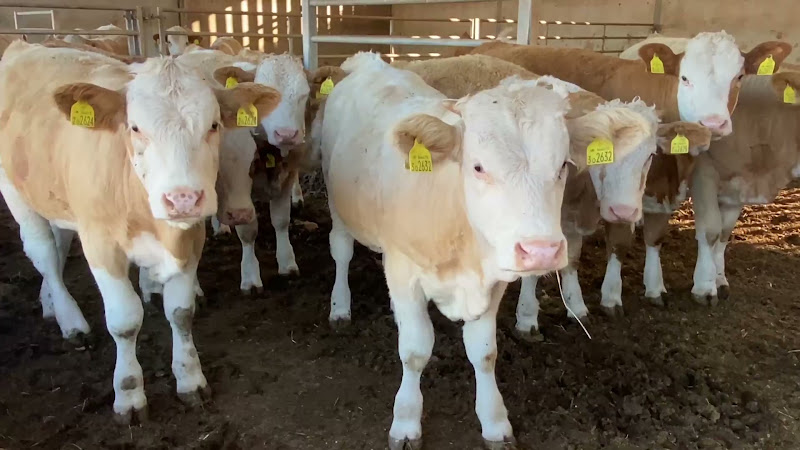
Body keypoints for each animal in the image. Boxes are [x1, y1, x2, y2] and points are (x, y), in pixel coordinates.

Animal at [0, 41, 281, 423]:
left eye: (213, 125)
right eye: (134, 128)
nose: (182, 198)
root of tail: (23, 44)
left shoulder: (190, 238)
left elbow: (181, 311)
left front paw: (190, 378)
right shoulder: (100, 243)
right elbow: (124, 321)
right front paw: (129, 393)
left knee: (57, 247)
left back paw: (51, 304)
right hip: (16, 192)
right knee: (43, 252)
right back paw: (70, 319)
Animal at [320, 51, 655, 447]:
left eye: (563, 166)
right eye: (478, 166)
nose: (541, 251)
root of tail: (369, 61)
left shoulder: (493, 281)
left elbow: (484, 353)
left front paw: (494, 421)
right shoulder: (404, 269)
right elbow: (414, 351)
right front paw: (405, 420)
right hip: (337, 205)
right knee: (341, 252)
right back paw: (340, 306)